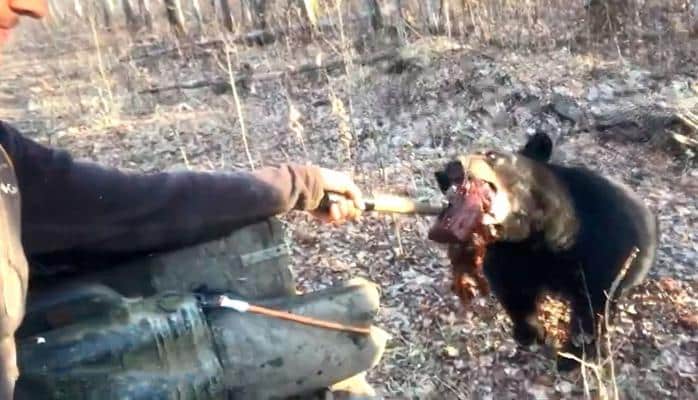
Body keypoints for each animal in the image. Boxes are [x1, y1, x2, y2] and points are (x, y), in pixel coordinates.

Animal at [430, 133, 656, 370]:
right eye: (445, 183)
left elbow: (592, 305)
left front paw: (572, 355)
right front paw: (530, 333)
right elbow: (513, 290)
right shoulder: (507, 254)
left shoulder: (601, 247)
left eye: (491, 154)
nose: (451, 168)